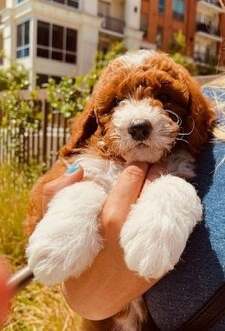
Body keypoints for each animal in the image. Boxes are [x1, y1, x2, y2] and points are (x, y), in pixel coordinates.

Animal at [24, 50, 214, 331]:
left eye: (164, 97)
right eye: (117, 102)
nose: (139, 126)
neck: (130, 161)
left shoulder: (181, 168)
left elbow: (175, 184)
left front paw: (153, 240)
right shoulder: (54, 181)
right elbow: (85, 184)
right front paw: (58, 246)